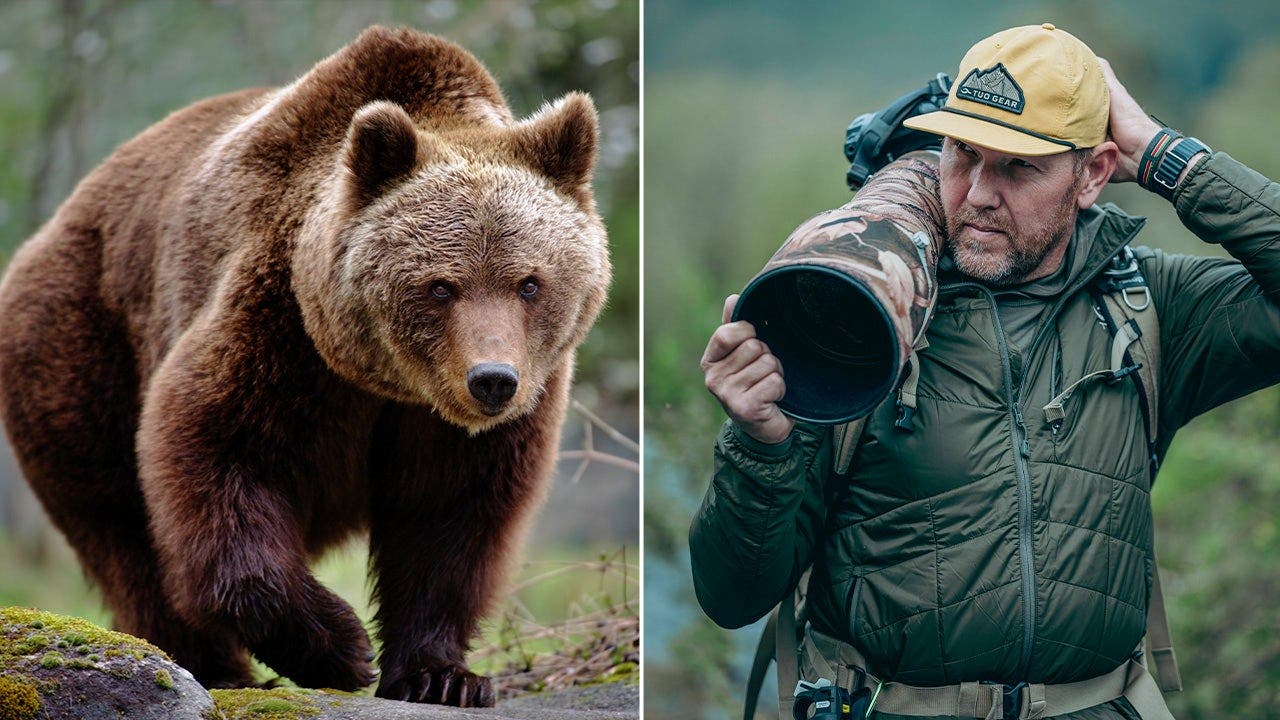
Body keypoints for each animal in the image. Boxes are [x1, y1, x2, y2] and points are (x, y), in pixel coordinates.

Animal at [0, 26, 610, 707]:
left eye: (529, 282)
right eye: (440, 286)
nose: (493, 381)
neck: (387, 382)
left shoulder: (480, 416)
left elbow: (450, 517)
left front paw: (440, 675)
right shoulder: (280, 332)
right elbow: (218, 455)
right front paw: (341, 649)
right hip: (80, 343)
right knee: (120, 524)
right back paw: (208, 664)